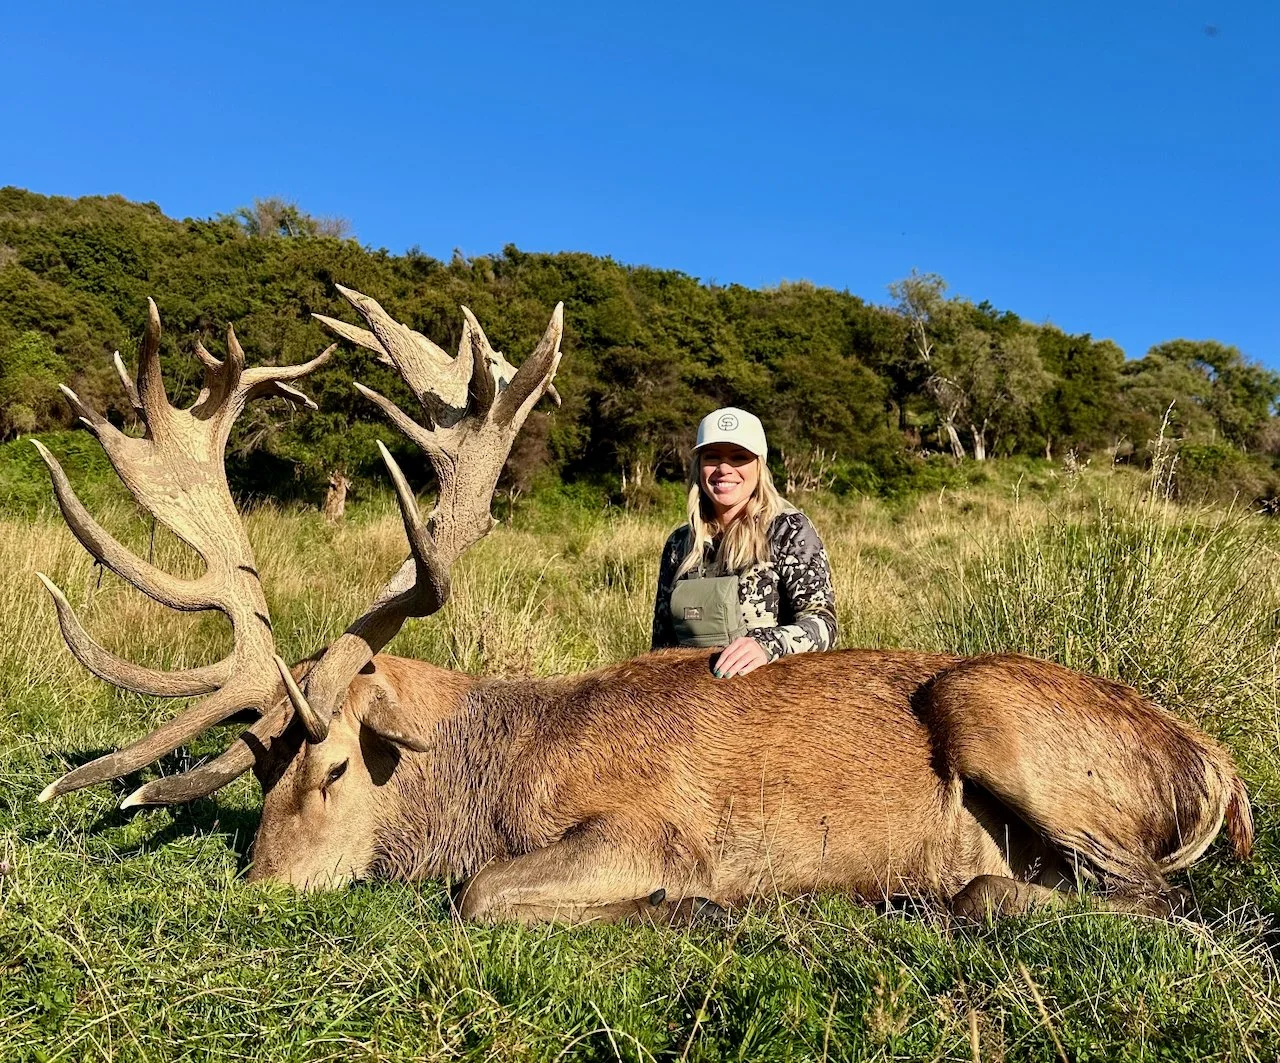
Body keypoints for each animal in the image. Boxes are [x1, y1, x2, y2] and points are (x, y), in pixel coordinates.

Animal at [31, 288, 1254, 926]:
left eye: (334, 766)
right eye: (261, 769)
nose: (262, 890)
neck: (492, 772)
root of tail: (1222, 772)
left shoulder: (646, 821)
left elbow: (479, 891)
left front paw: (687, 903)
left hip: (996, 712)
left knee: (1156, 897)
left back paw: (954, 887)